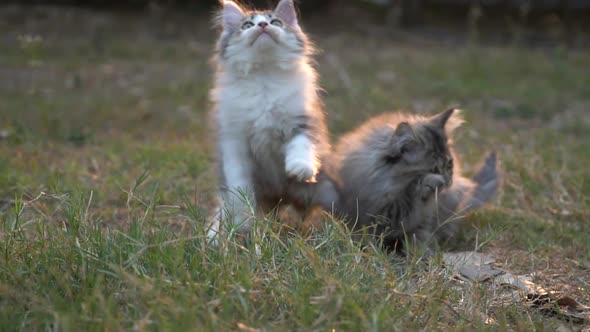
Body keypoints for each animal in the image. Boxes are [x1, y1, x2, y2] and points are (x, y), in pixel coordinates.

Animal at [332, 109, 500, 252]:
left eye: (449, 164)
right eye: (432, 169)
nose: (448, 182)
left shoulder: (421, 217)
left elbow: (419, 233)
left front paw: (420, 252)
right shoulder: (381, 211)